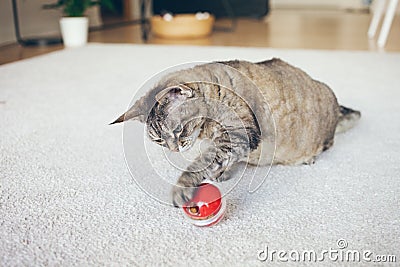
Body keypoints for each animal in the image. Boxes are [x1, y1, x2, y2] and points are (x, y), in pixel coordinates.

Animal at [111, 59, 360, 208]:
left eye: (178, 129)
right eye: (158, 139)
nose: (173, 149)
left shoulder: (238, 135)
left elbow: (202, 162)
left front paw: (183, 186)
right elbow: (218, 160)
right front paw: (222, 172)